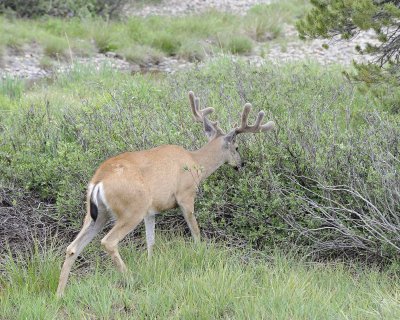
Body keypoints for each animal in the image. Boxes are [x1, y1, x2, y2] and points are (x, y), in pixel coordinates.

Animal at [56, 91, 276, 296]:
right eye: (236, 147)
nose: (241, 164)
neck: (196, 163)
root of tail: (98, 180)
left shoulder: (151, 211)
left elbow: (150, 241)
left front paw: (151, 265)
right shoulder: (186, 195)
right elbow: (195, 231)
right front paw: (200, 255)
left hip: (97, 214)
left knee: (72, 247)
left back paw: (60, 293)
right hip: (131, 209)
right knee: (108, 242)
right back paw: (130, 279)